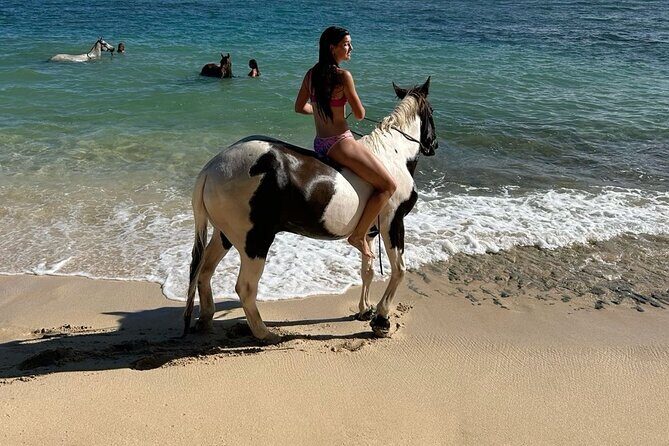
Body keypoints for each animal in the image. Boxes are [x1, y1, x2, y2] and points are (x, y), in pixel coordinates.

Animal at [184, 77, 437, 343]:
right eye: (432, 111)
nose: (434, 145)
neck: (392, 156)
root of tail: (211, 168)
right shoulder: (393, 221)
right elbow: (399, 270)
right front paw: (381, 319)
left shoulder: (369, 231)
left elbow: (367, 270)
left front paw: (365, 310)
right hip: (254, 241)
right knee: (245, 287)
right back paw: (265, 333)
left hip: (224, 234)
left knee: (204, 271)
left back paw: (207, 319)